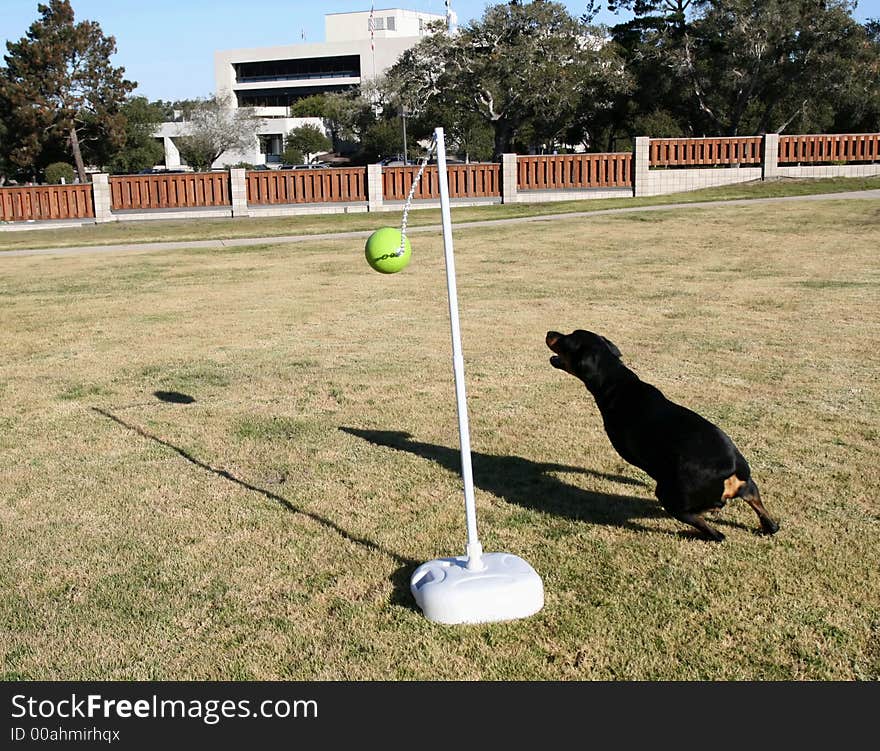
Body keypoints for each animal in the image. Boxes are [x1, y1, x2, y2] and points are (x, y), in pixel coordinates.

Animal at [548, 330, 780, 540]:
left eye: (567, 339)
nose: (549, 332)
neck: (616, 381)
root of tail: (732, 470)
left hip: (671, 497)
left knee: (715, 533)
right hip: (749, 486)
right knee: (765, 515)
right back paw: (768, 527)